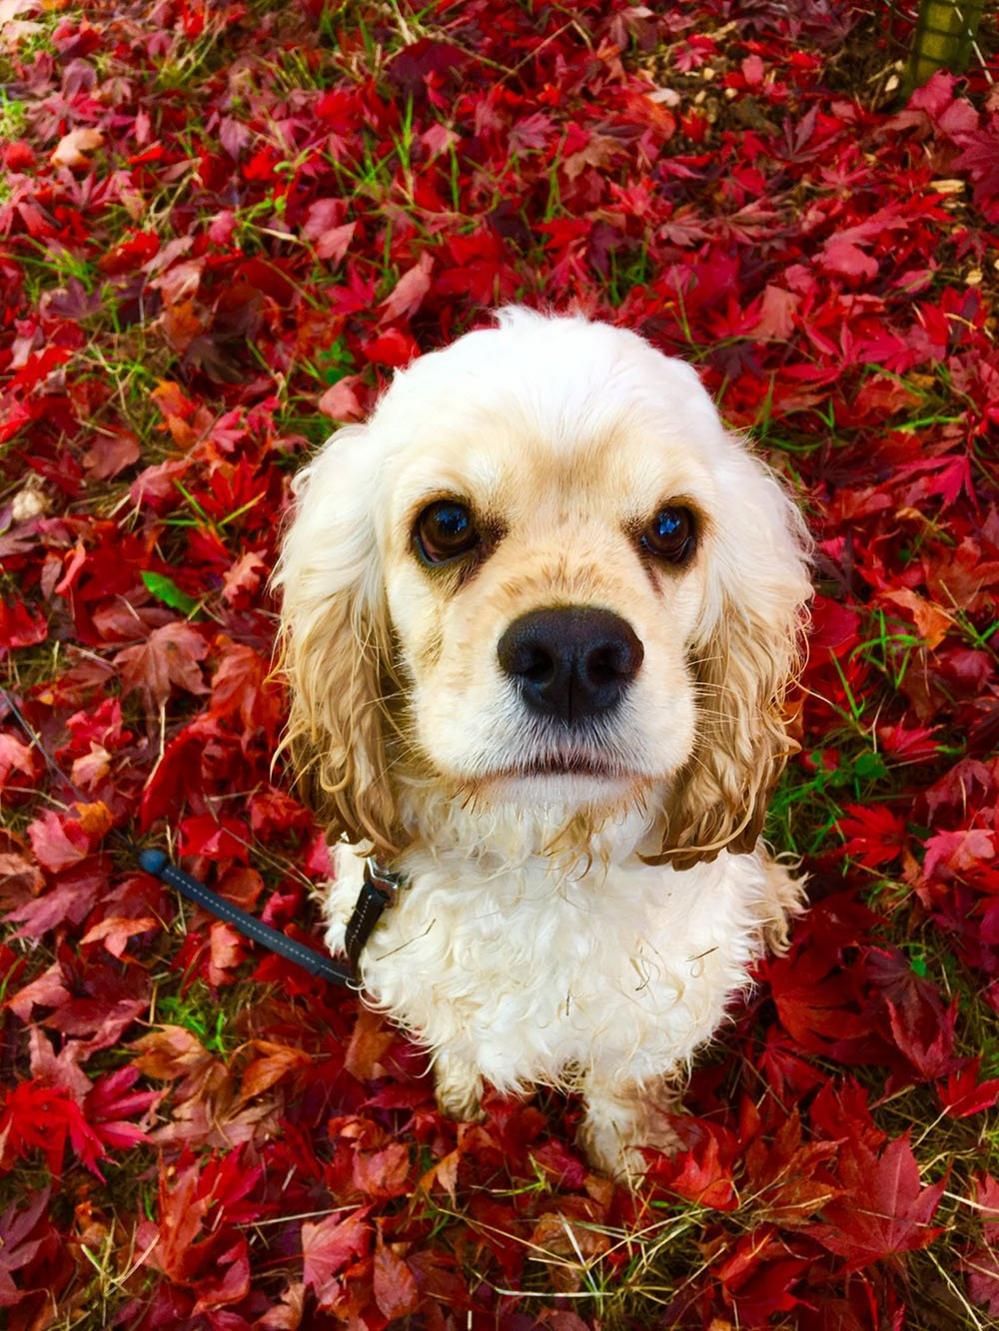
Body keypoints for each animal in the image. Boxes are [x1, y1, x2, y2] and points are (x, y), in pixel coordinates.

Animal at [275, 306, 814, 1181]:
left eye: (672, 527)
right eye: (445, 524)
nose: (571, 654)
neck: (542, 846)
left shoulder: (650, 1011)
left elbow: (622, 1082)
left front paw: (628, 1151)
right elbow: (461, 1039)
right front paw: (465, 1096)